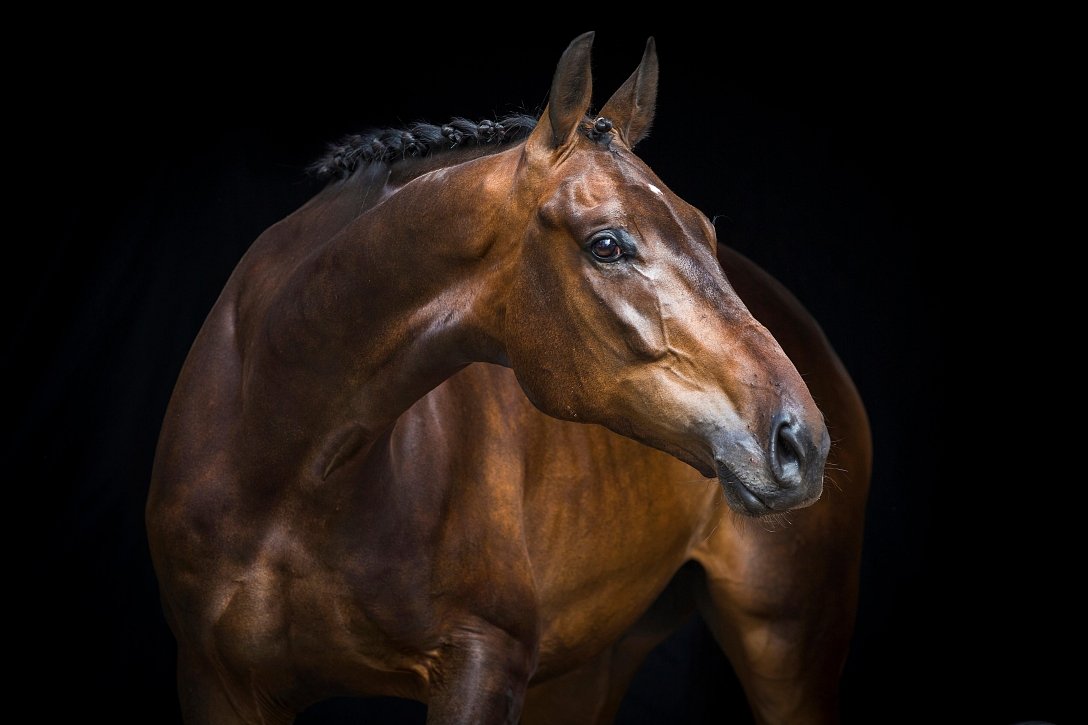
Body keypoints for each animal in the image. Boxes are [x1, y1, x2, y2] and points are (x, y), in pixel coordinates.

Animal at [146, 32, 871, 725]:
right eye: (607, 244)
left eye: (706, 232)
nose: (800, 441)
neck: (283, 460)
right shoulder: (216, 683)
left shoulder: (485, 663)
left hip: (788, 647)